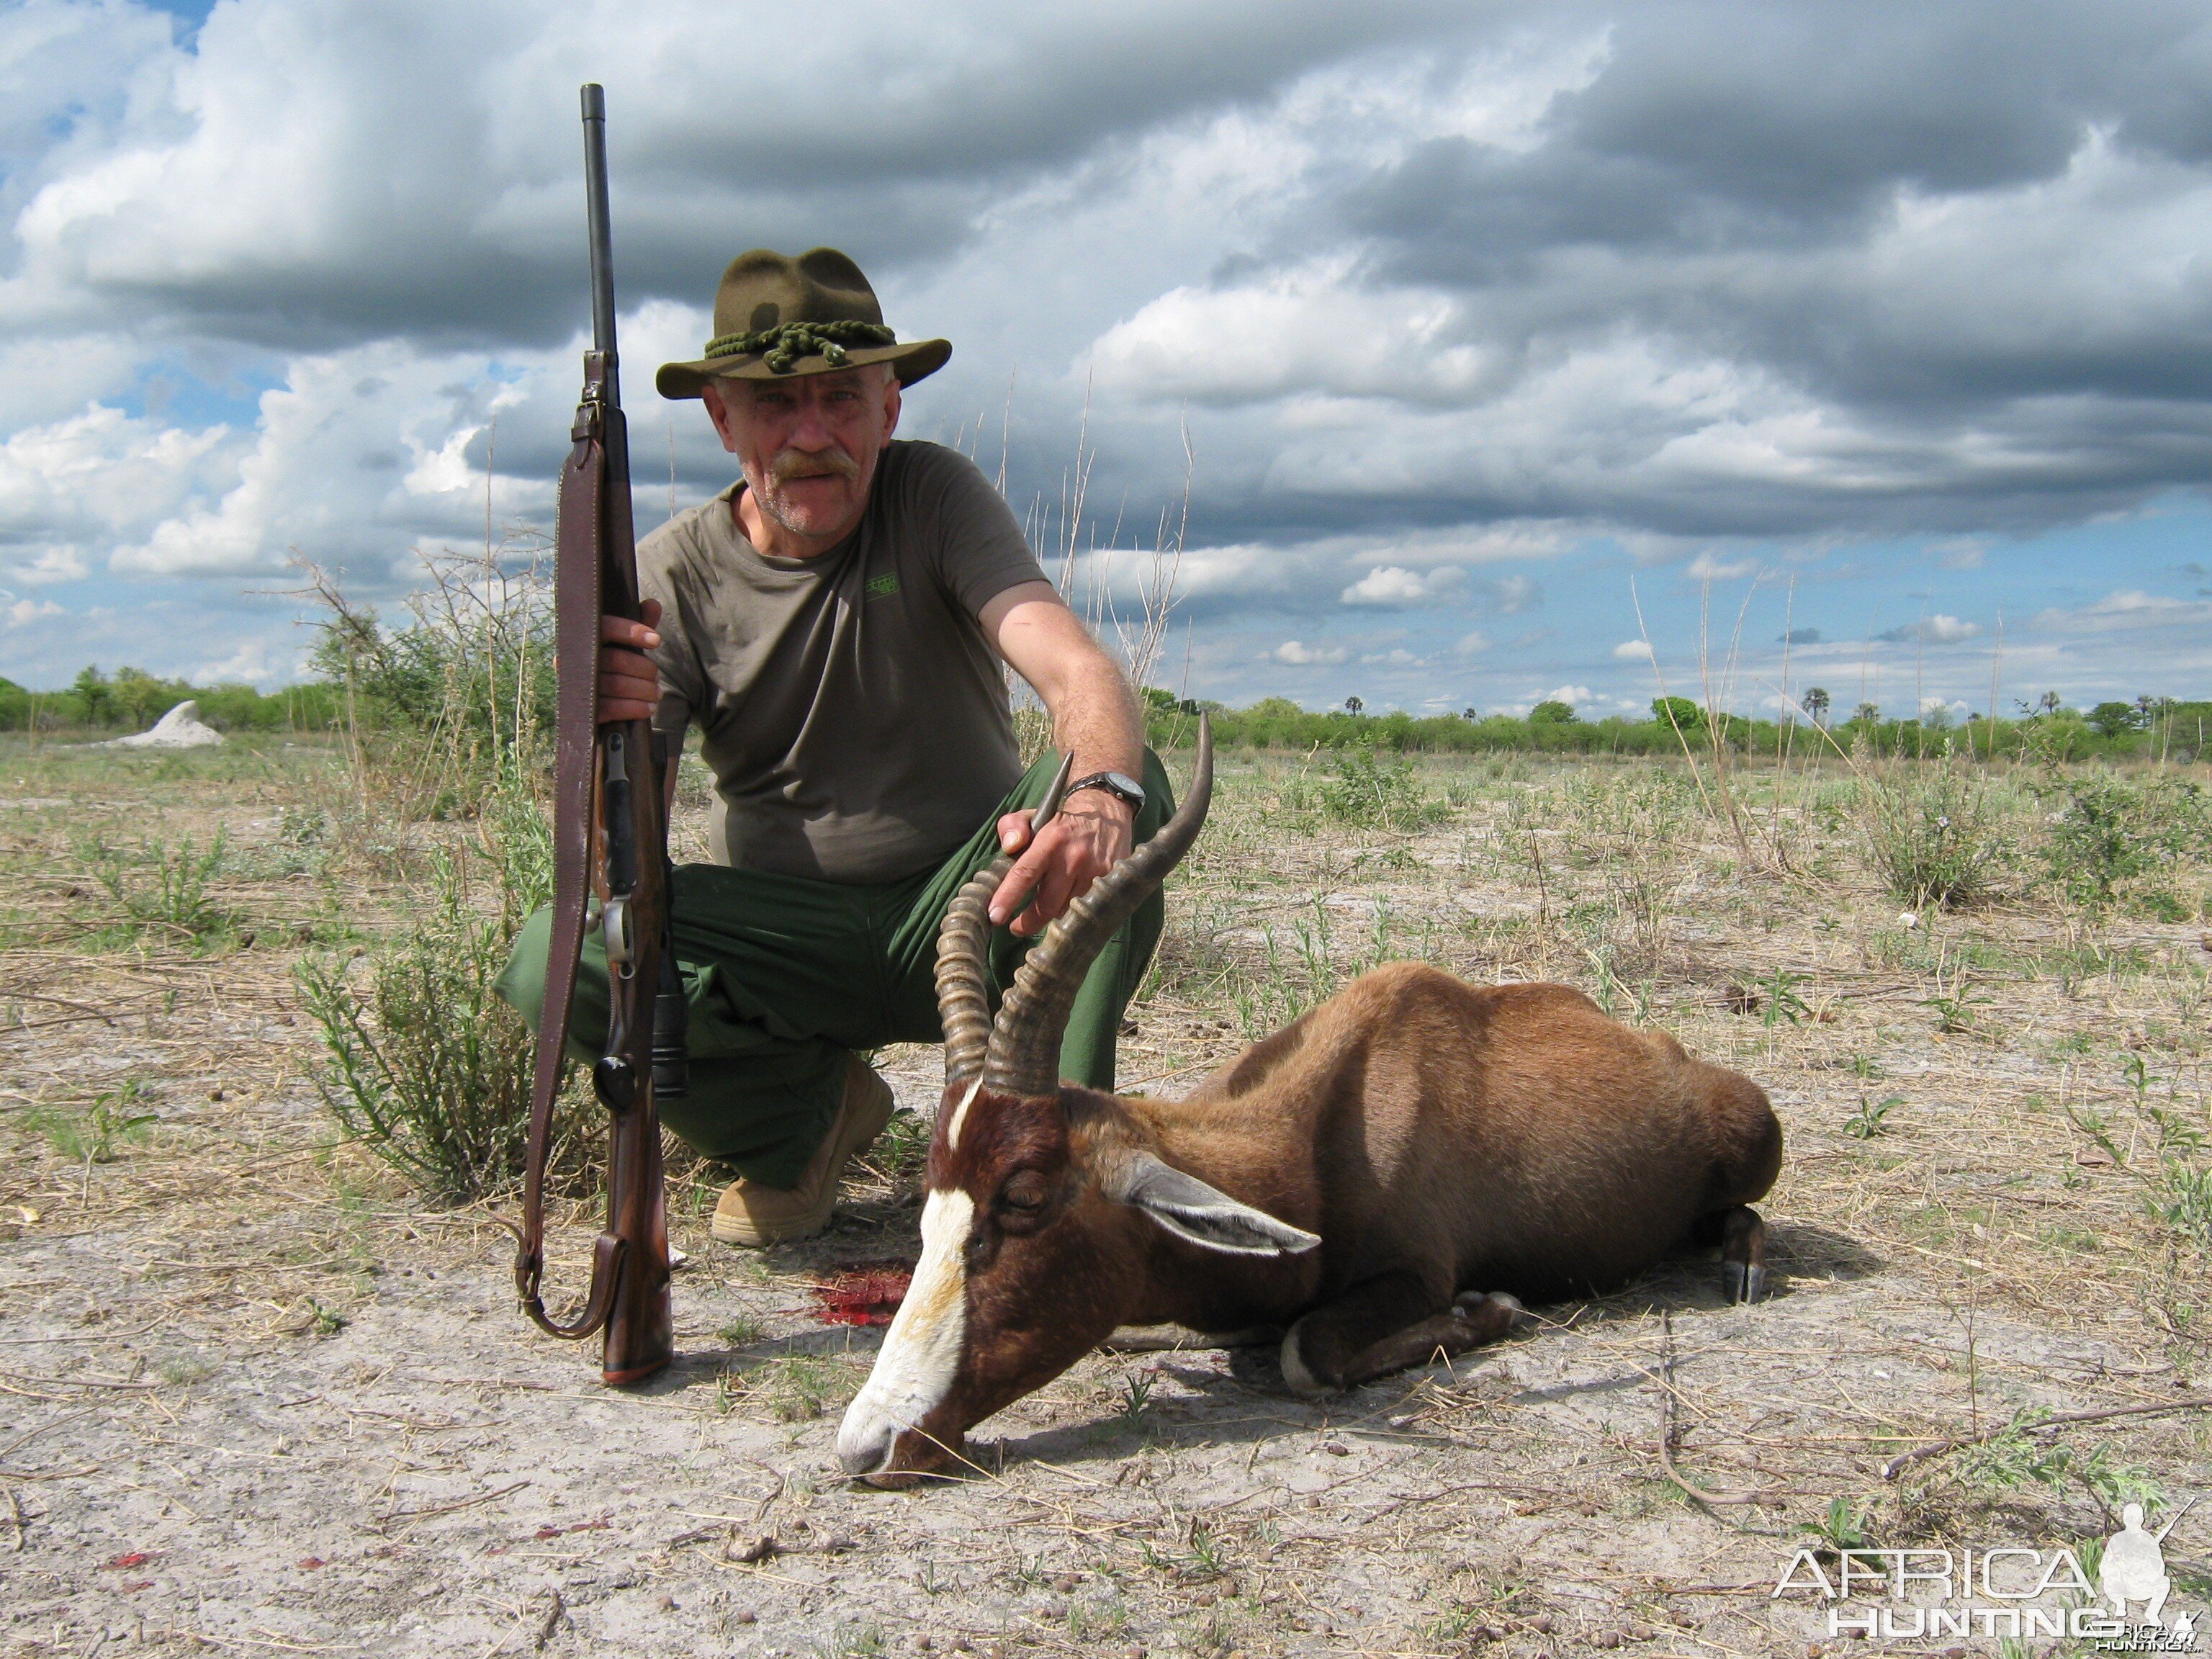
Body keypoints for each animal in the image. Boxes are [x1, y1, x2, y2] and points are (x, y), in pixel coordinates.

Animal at [836, 725, 1787, 1495]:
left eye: (1025, 1198)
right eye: (931, 1203)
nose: (869, 1447)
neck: (1328, 1129)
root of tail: (1663, 1050)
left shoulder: (1414, 1273)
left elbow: (1308, 1356)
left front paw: (1493, 1310)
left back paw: (1740, 1271)